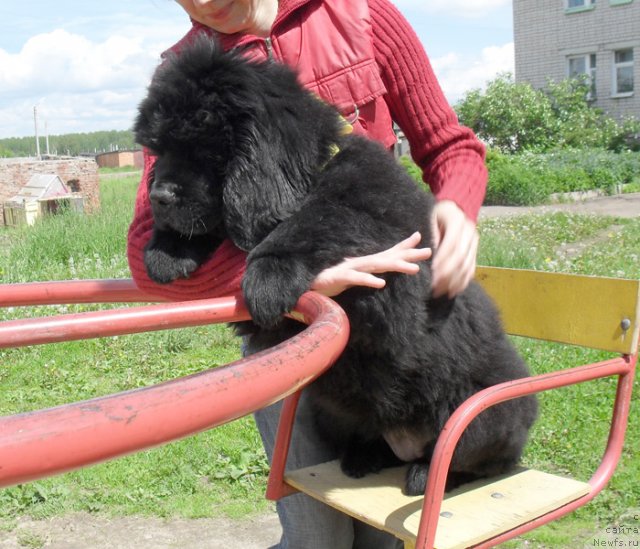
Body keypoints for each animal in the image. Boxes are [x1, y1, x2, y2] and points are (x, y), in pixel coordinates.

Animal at [135, 36, 540, 494]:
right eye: (158, 149)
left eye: (203, 147)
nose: (159, 197)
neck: (311, 171)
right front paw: (166, 251)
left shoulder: (385, 235)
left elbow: (319, 219)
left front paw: (268, 274)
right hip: (331, 412)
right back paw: (363, 457)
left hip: (484, 418)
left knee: (481, 461)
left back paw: (426, 474)